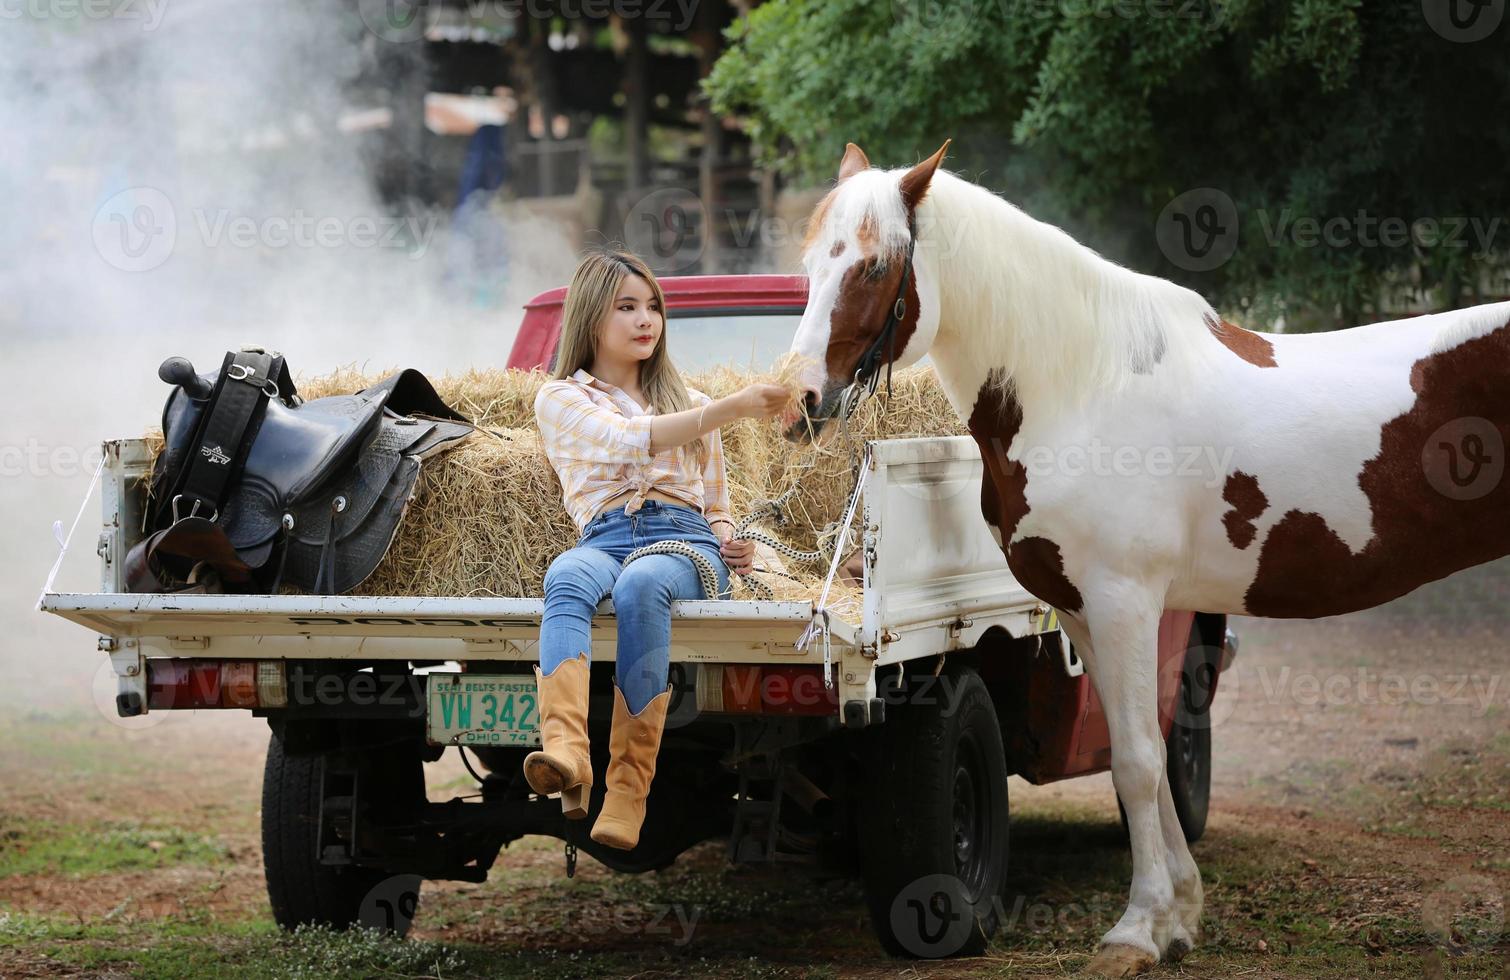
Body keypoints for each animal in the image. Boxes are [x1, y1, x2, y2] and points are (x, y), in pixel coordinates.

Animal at [785, 137, 1510, 972]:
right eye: (811, 263)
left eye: (873, 267)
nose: (801, 401)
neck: (1085, 384)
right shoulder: (1085, 612)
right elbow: (1153, 758)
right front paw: (1177, 917)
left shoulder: (1125, 602)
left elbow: (1132, 762)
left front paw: (1133, 932)